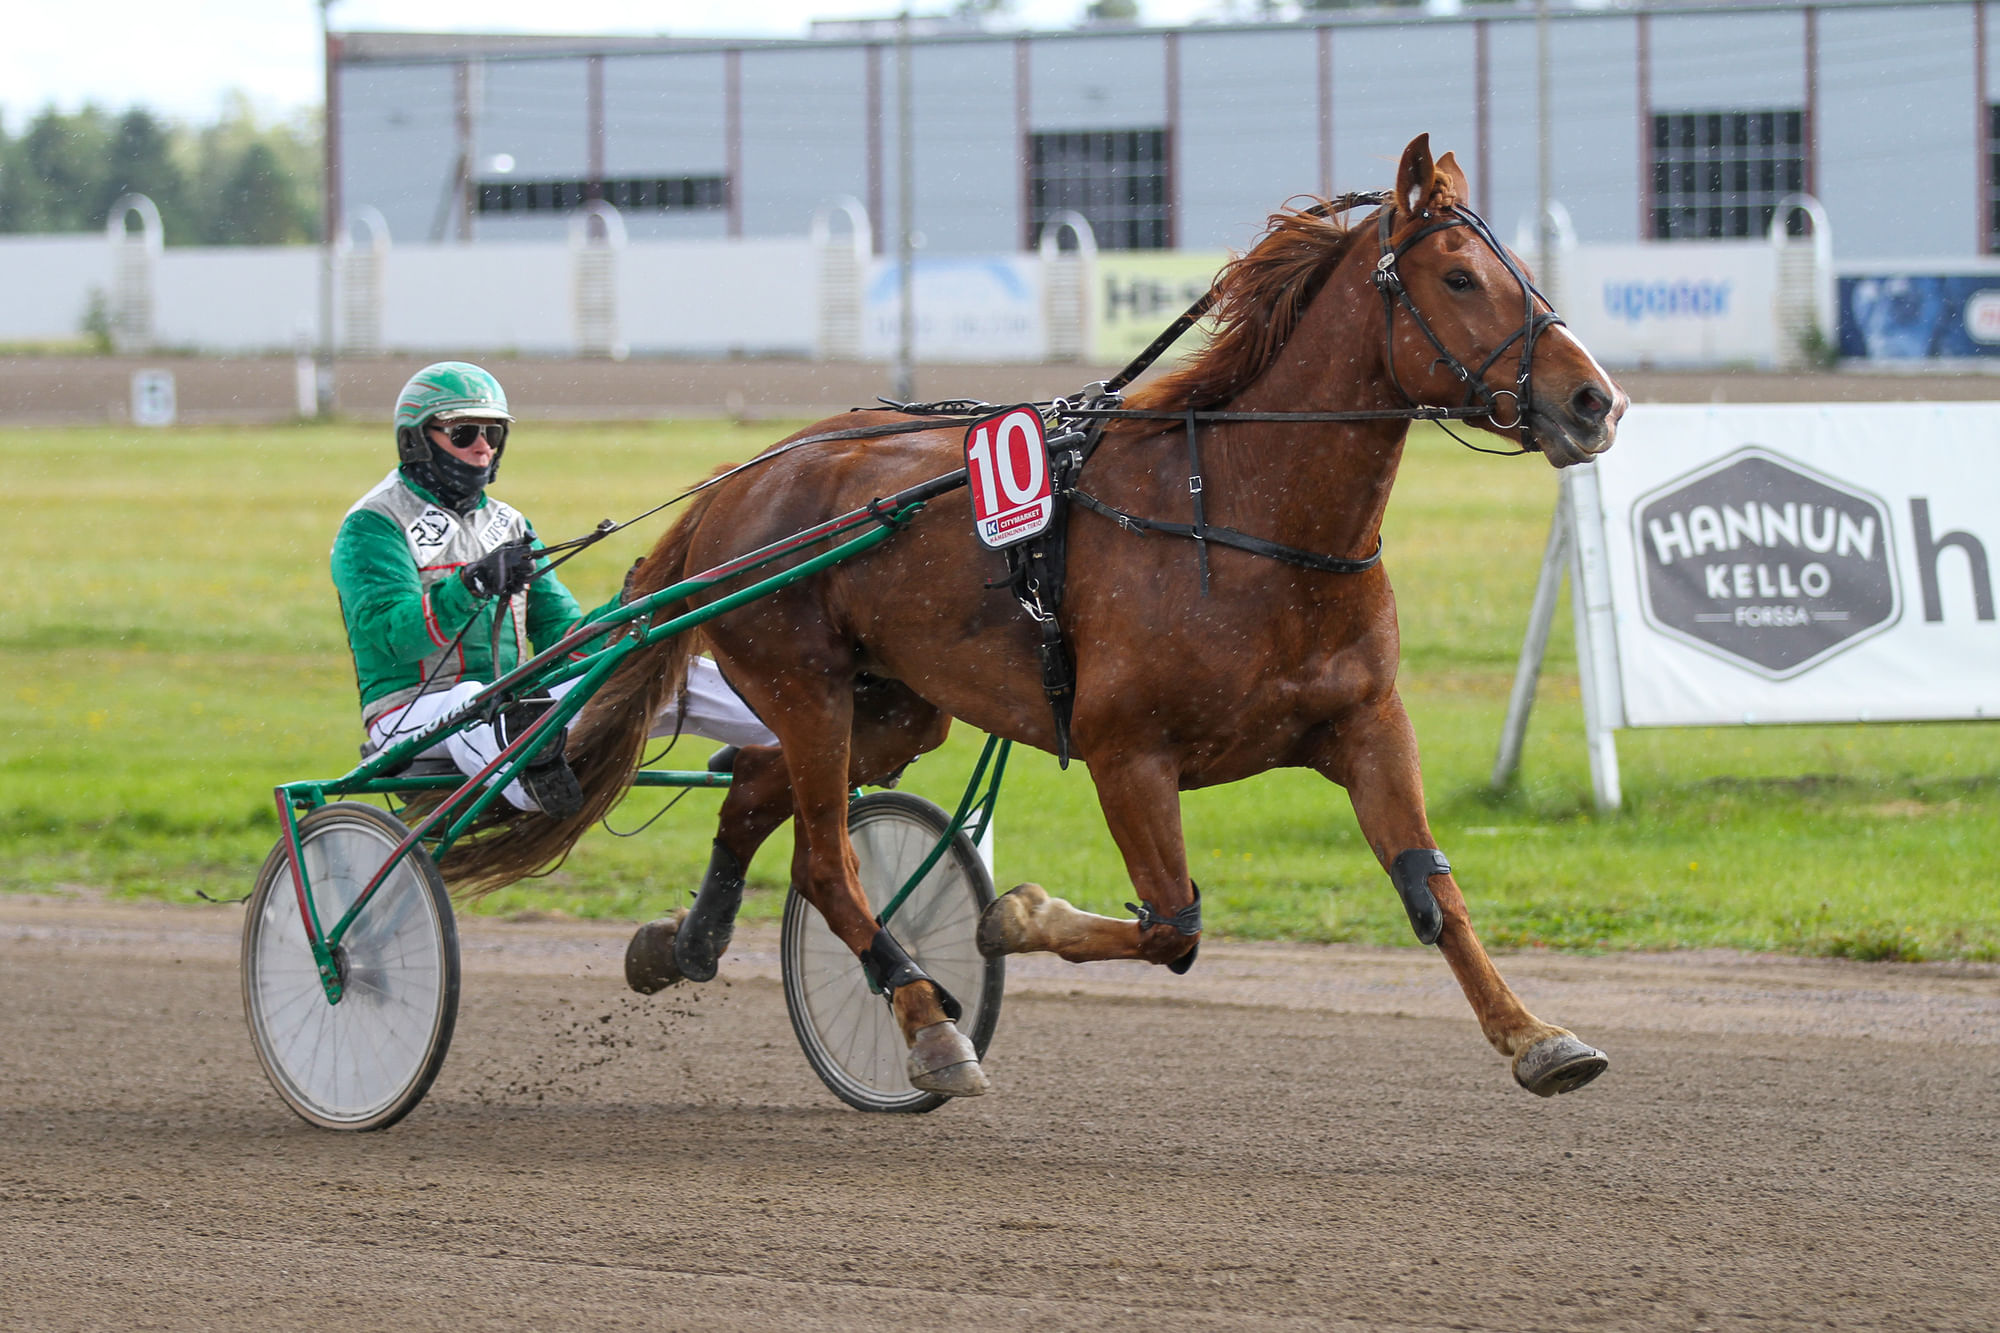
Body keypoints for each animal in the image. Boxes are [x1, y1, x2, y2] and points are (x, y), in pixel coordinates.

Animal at [450, 137, 1624, 1096]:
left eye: (1522, 269)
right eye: (1459, 275)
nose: (1593, 401)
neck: (1241, 520)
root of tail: (741, 481)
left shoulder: (1366, 723)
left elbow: (1432, 890)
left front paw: (1536, 1036)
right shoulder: (1125, 749)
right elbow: (1171, 925)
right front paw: (1011, 915)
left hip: (891, 707)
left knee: (750, 789)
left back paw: (684, 943)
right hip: (806, 684)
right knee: (826, 863)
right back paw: (924, 1018)